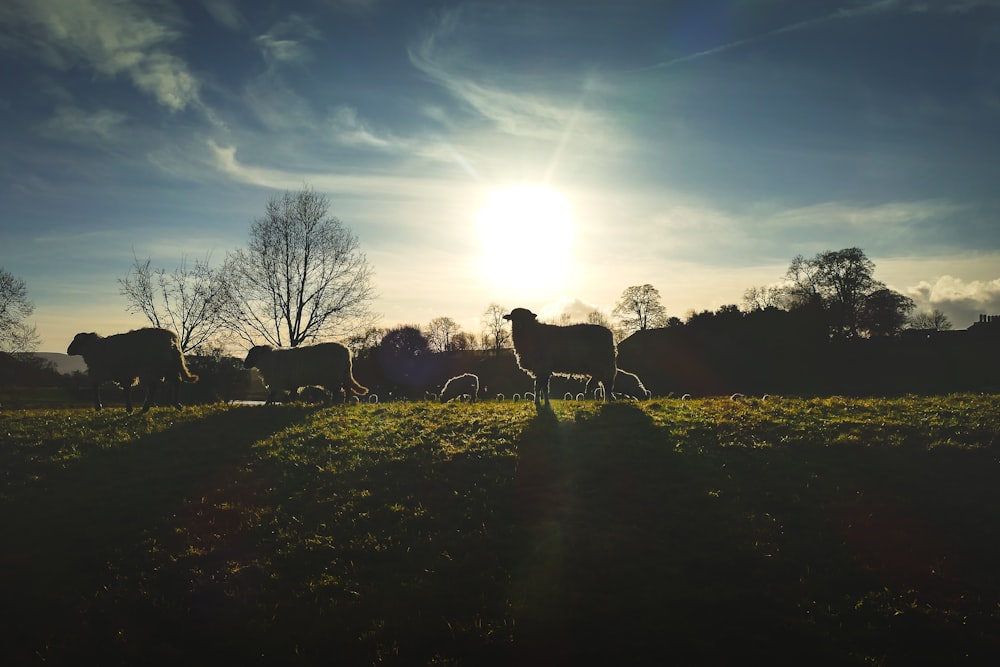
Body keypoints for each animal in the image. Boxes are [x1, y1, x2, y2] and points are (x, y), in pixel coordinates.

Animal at [67, 328, 198, 412]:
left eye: (77, 340)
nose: (68, 351)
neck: (95, 348)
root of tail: (173, 342)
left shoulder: (102, 371)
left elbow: (95, 386)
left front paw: (98, 406)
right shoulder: (124, 374)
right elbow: (126, 390)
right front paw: (129, 408)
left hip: (151, 367)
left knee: (154, 386)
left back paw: (146, 408)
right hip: (168, 366)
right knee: (176, 382)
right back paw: (176, 404)